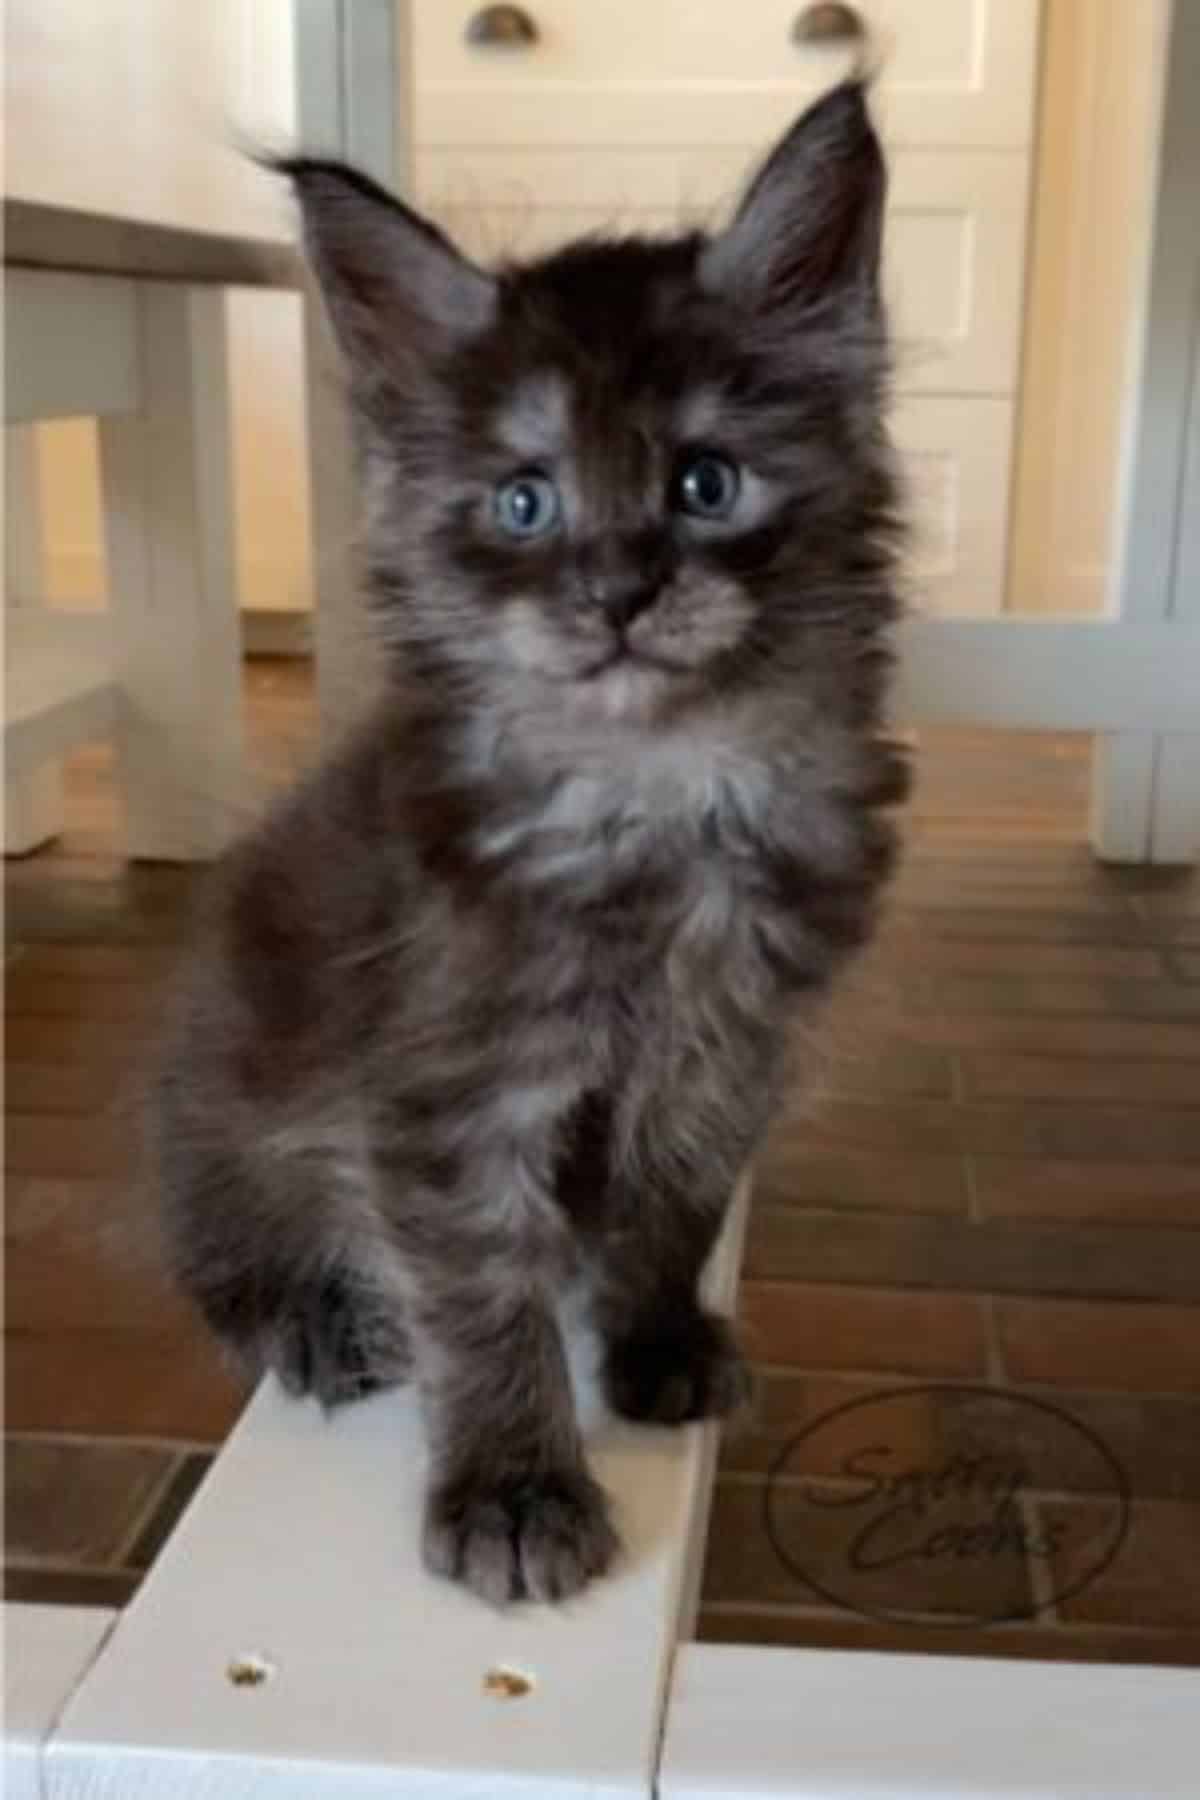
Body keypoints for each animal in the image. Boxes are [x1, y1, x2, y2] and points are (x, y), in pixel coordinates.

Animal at [150, 77, 906, 1612]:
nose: (617, 594)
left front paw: (657, 1337)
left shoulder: (731, 1045)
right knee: (217, 1238)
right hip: (227, 1087)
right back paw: (309, 1314)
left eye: (706, 484)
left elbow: (676, 1201)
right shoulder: (443, 1096)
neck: (655, 799)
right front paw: (515, 1490)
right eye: (524, 502)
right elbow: (483, 1297)